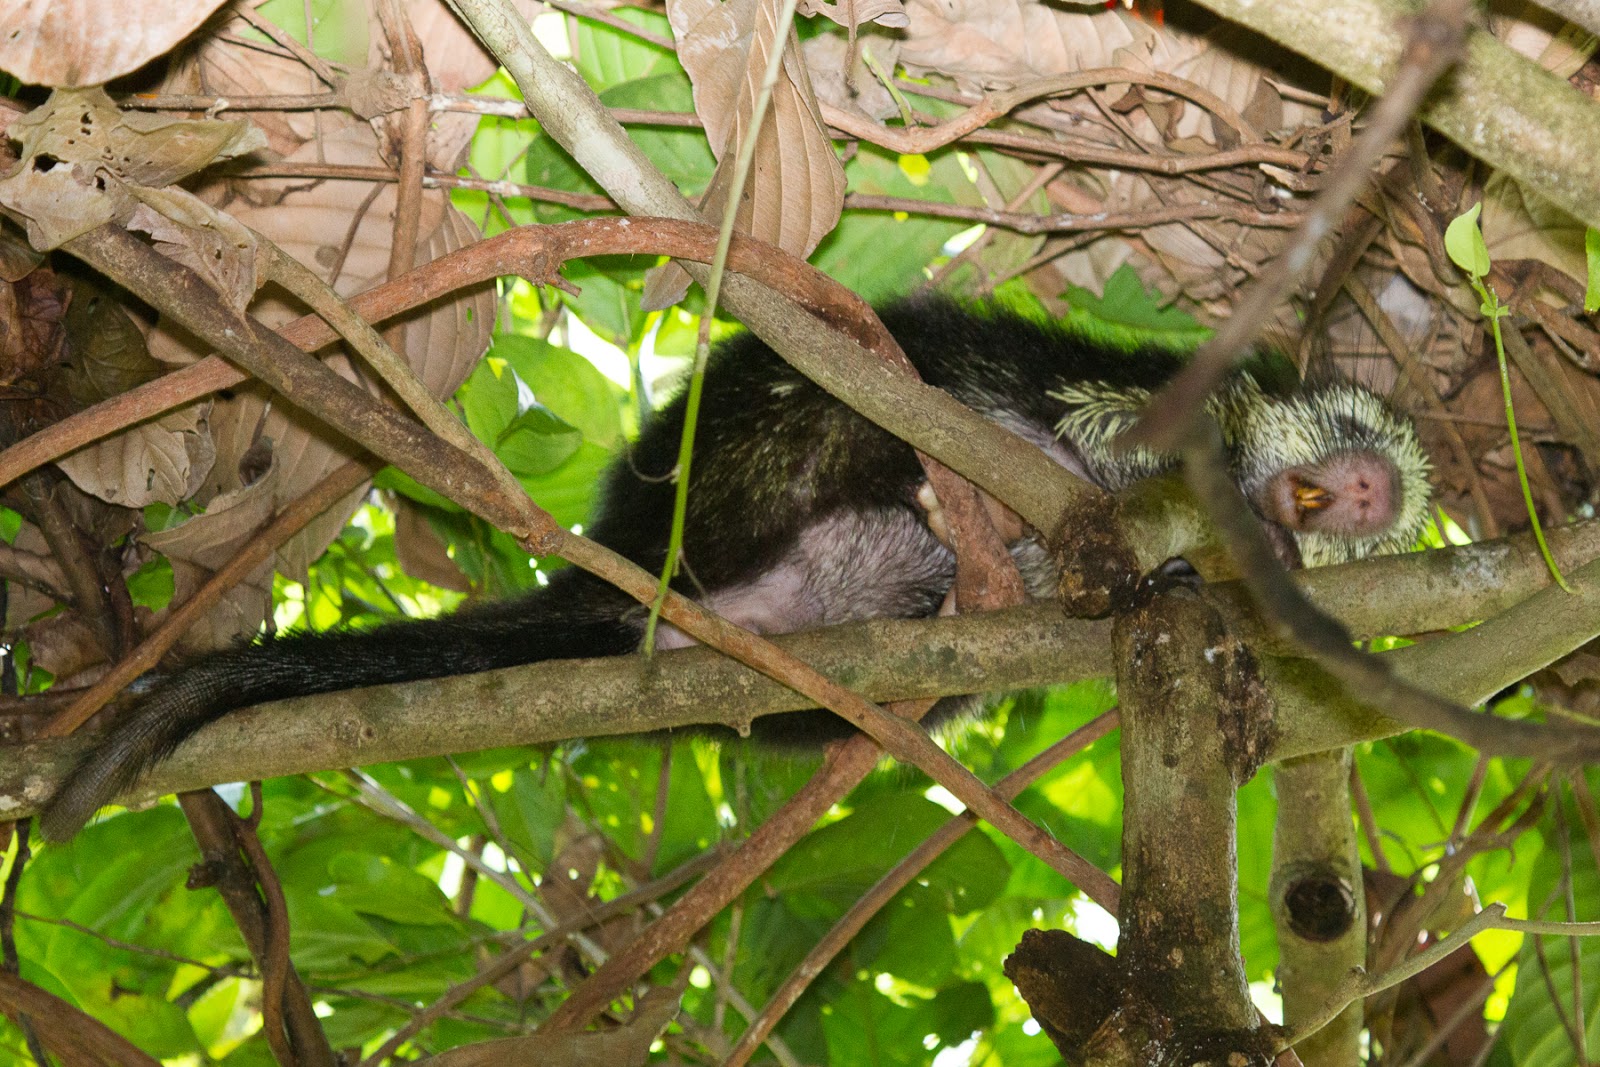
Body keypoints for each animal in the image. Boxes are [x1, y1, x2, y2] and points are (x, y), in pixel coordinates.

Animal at [38, 297, 1433, 841]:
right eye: (1344, 426)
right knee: (857, 404)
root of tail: (625, 572)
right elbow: (1070, 438)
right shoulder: (1128, 397)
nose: (1367, 488)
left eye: (1392, 509)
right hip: (739, 476)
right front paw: (1138, 546)